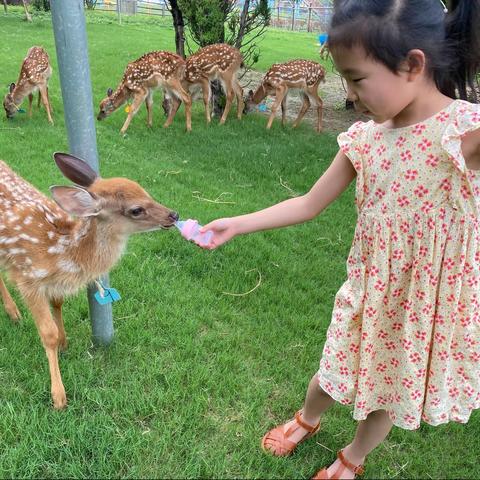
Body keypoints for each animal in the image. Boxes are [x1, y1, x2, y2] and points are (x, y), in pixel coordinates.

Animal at [0, 154, 178, 408]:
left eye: (146, 192)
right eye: (136, 209)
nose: (174, 215)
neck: (64, 253)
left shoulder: (55, 284)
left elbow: (58, 304)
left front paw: (64, 343)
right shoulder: (28, 277)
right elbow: (48, 334)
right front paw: (58, 396)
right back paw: (14, 312)